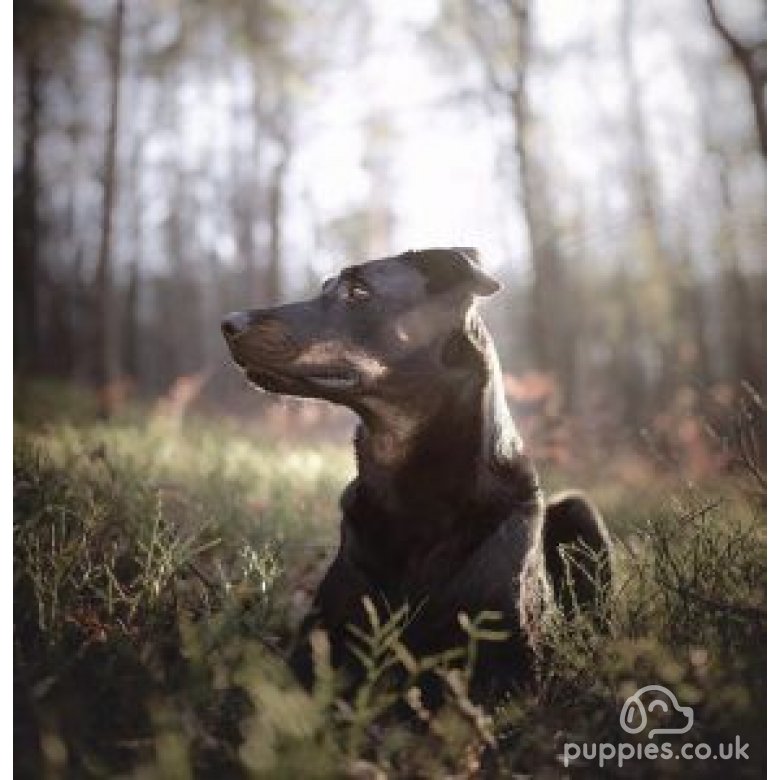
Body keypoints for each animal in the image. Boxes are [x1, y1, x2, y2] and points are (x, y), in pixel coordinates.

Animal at [219, 248, 608, 700]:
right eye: (324, 287)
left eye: (358, 291)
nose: (228, 323)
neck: (413, 492)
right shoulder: (320, 637)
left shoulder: (509, 661)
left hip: (581, 509)